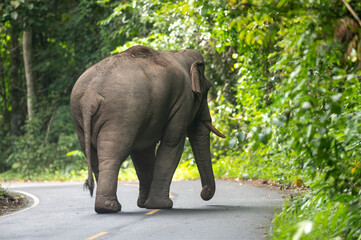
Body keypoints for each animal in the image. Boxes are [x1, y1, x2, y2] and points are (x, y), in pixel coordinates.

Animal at [69, 45, 225, 214]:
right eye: (207, 89)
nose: (204, 193)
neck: (179, 54)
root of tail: (89, 97)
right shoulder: (183, 101)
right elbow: (171, 144)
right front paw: (162, 205)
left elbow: (142, 153)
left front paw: (145, 204)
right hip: (121, 115)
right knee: (113, 155)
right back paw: (110, 207)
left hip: (81, 119)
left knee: (94, 156)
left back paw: (107, 207)